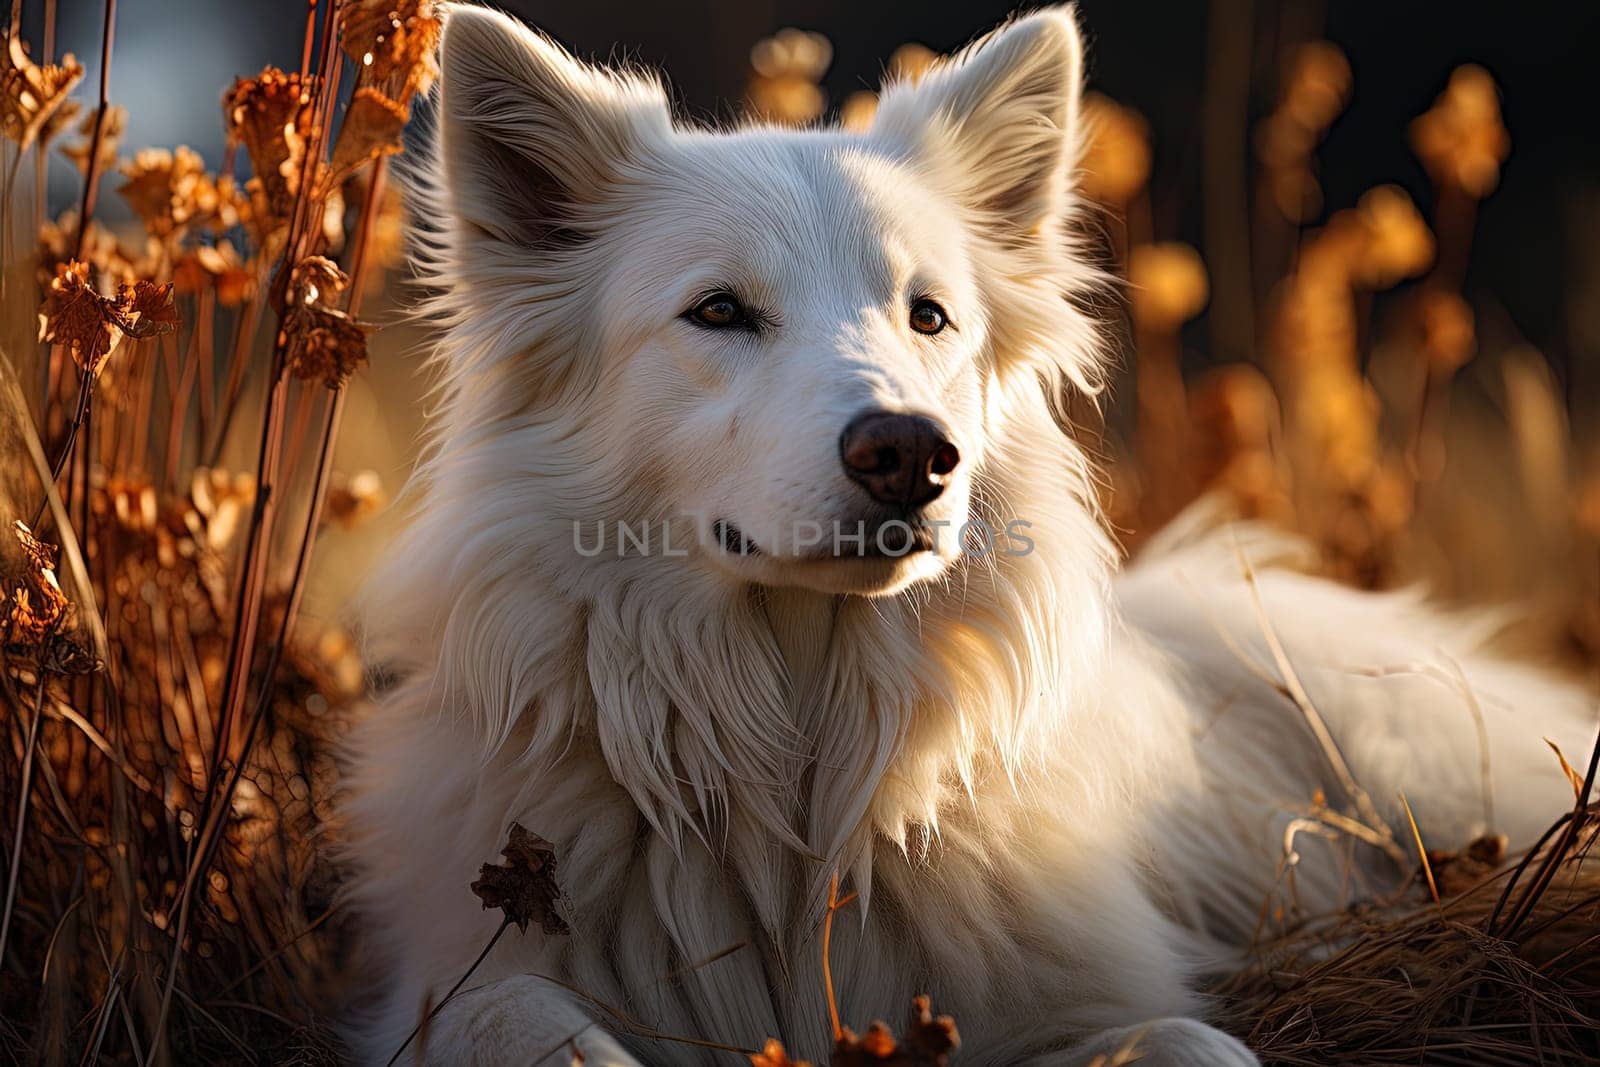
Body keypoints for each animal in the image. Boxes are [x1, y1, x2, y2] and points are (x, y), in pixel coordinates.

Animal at [340, 4, 1600, 1062]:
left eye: (929, 315)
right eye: (719, 310)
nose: (911, 451)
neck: (794, 787)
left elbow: (1186, 1037)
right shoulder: (453, 978)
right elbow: (526, 1018)